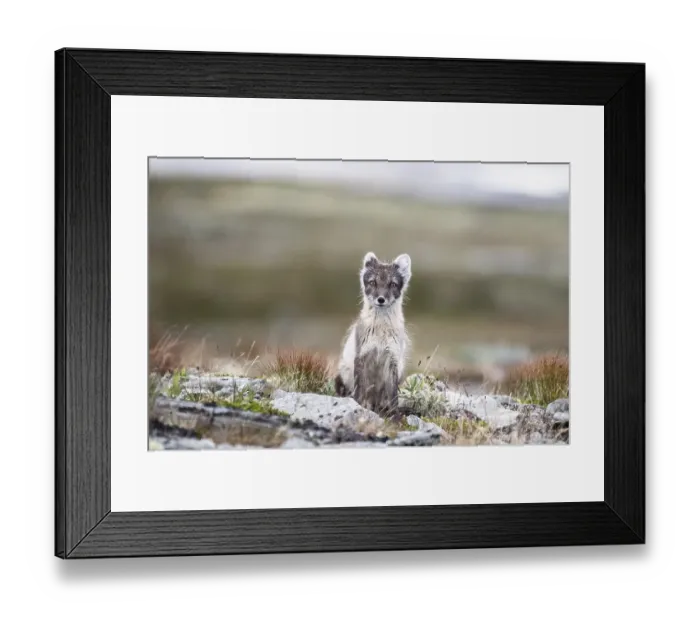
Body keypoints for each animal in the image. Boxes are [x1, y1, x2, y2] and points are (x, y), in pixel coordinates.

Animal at [335, 251, 412, 415]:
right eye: (373, 282)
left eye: (392, 284)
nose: (381, 299)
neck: (381, 330)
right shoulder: (362, 355)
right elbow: (360, 389)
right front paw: (358, 406)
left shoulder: (392, 358)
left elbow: (393, 395)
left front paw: (394, 415)